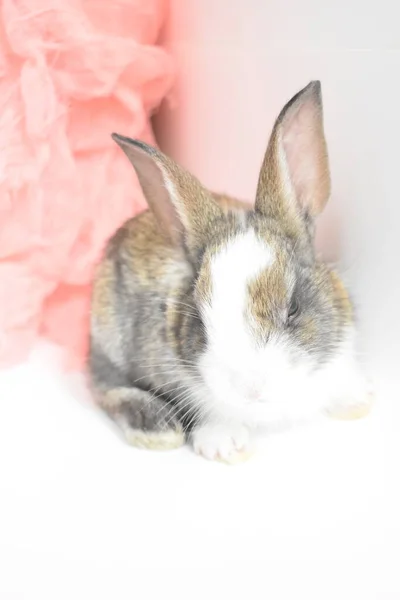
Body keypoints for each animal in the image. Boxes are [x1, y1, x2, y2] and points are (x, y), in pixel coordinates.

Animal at [87, 81, 372, 464]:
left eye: (293, 308)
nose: (250, 388)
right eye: (200, 322)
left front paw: (358, 400)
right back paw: (157, 428)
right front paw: (226, 444)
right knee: (105, 386)